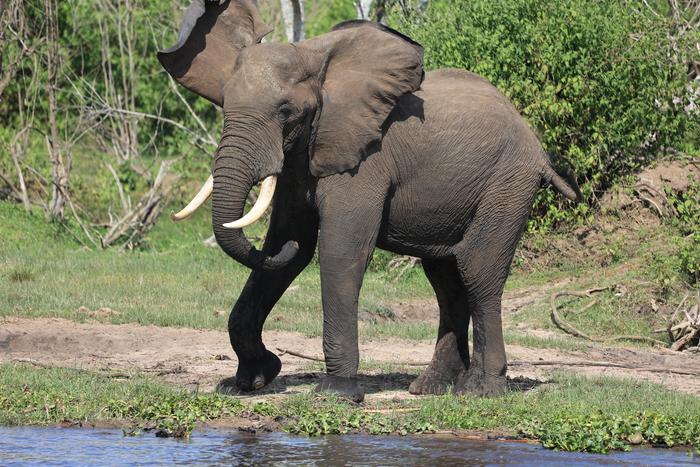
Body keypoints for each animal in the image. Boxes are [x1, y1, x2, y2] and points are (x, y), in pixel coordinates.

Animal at [159, 0, 579, 402]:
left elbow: (338, 250)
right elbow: (289, 245)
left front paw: (336, 393)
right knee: (446, 281)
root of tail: (537, 147)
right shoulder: (303, 159)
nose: (268, 365)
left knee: (478, 274)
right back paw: (432, 387)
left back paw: (480, 391)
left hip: (507, 185)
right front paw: (247, 383)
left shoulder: (365, 160)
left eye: (285, 111)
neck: (315, 58)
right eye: (224, 105)